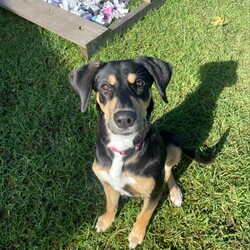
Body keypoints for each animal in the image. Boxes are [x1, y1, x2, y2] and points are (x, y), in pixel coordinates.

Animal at [69, 56, 215, 248]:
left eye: (139, 83)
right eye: (105, 87)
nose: (124, 119)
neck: (123, 149)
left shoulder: (154, 192)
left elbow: (144, 215)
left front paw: (136, 236)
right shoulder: (107, 183)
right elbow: (111, 205)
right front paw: (106, 221)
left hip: (172, 145)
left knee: (168, 170)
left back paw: (175, 193)